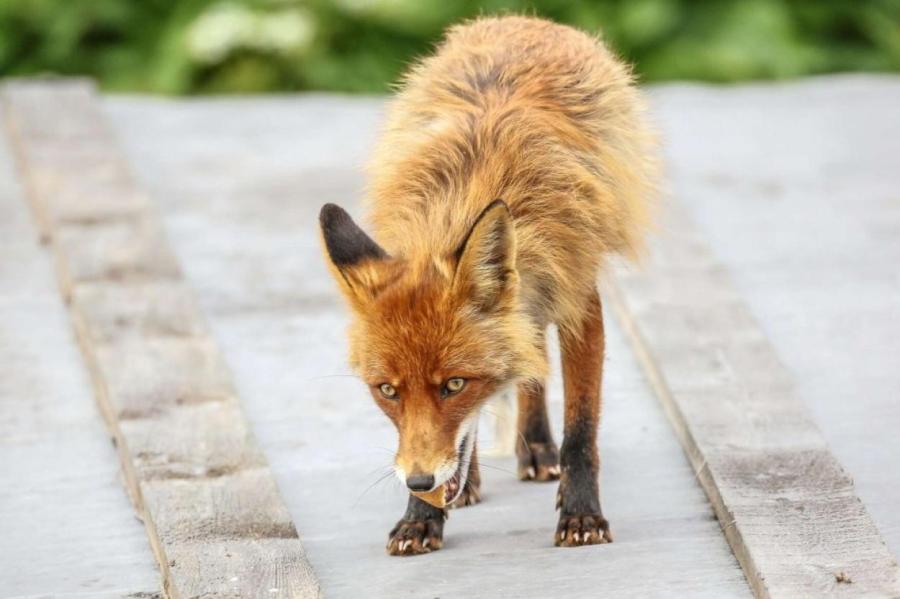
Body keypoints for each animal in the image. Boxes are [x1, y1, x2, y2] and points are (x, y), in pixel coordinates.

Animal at [320, 15, 656, 556]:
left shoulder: (579, 300)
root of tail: (524, 19)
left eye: (454, 384)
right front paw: (422, 517)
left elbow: (581, 431)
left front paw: (582, 514)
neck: (475, 187)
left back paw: (537, 447)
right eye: (387, 391)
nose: (418, 482)